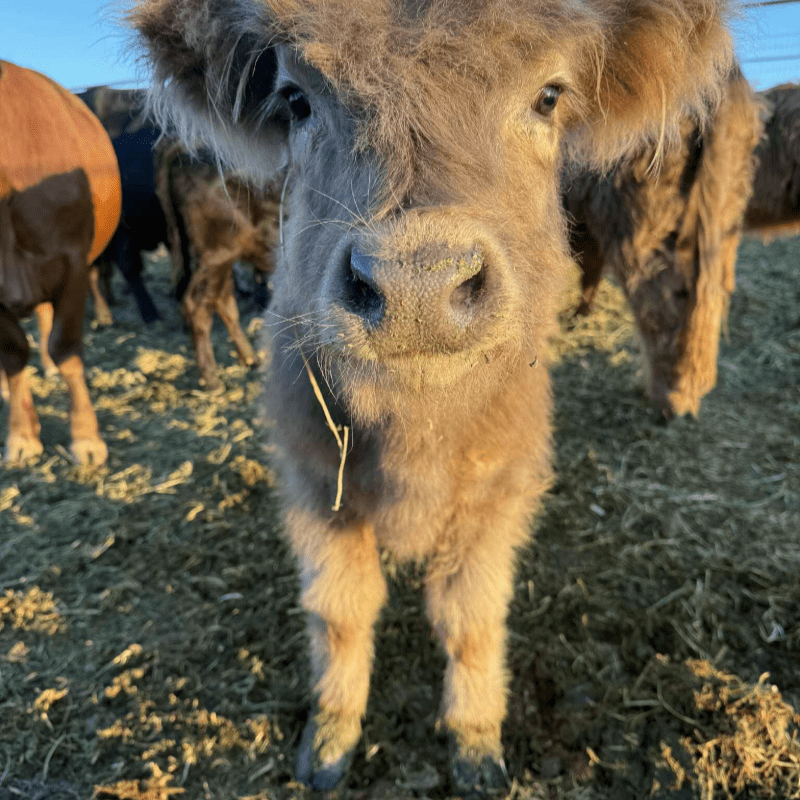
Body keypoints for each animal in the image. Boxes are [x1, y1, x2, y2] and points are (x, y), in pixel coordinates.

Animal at [154, 141, 281, 390]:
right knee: (198, 304)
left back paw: (249, 359)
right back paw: (211, 378)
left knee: (222, 301)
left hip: (222, 260)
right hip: (216, 255)